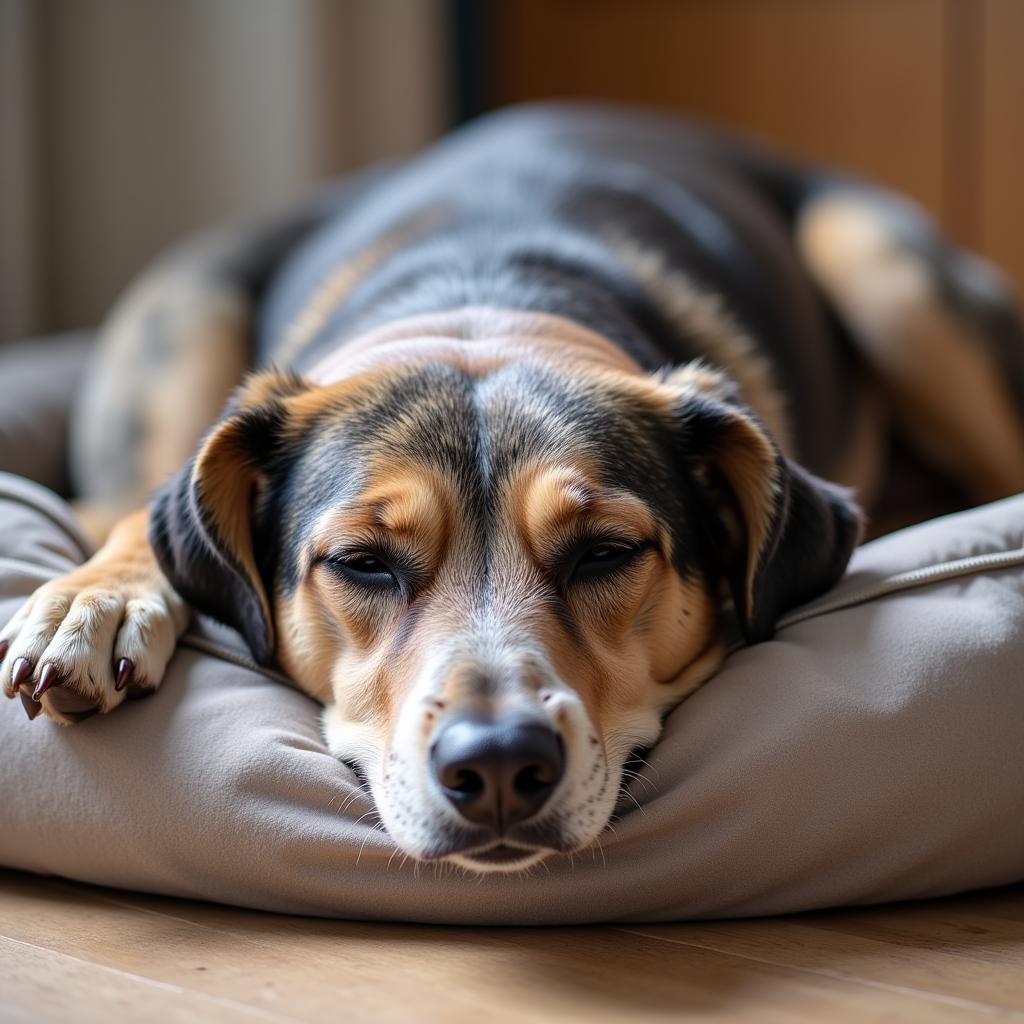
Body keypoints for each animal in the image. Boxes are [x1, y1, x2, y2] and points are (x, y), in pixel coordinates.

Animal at [6, 103, 1024, 872]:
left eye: (606, 553)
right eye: (362, 563)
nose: (497, 765)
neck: (481, 296)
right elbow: (134, 524)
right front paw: (94, 604)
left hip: (883, 266)